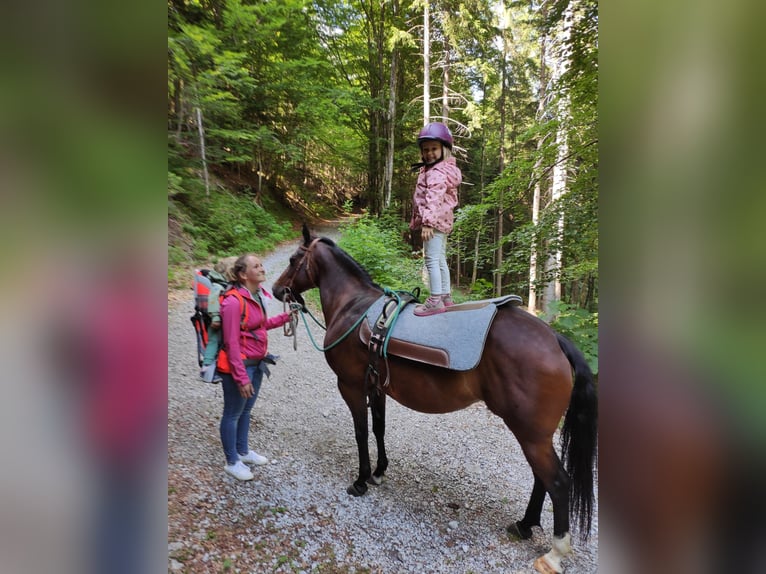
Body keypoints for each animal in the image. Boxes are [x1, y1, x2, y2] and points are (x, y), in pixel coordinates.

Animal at [272, 225, 598, 574]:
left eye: (293, 259)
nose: (277, 290)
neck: (354, 308)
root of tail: (555, 339)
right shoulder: (376, 387)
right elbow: (378, 429)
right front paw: (379, 471)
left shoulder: (350, 386)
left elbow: (360, 433)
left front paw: (360, 480)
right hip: (534, 435)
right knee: (542, 478)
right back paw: (524, 525)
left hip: (532, 436)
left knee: (558, 482)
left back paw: (554, 553)